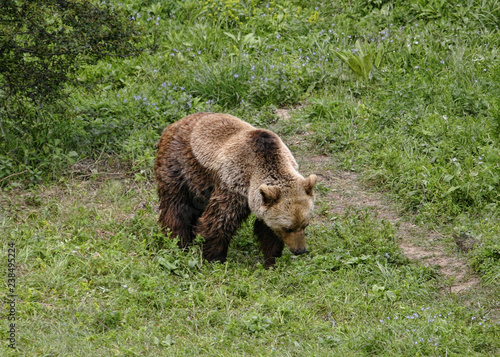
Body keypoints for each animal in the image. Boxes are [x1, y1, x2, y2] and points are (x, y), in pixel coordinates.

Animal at [155, 112, 316, 266]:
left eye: (305, 224)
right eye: (287, 228)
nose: (300, 250)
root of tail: (176, 123)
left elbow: (267, 231)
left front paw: (272, 260)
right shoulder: (233, 185)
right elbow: (219, 222)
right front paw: (215, 258)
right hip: (179, 166)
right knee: (176, 206)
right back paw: (178, 241)